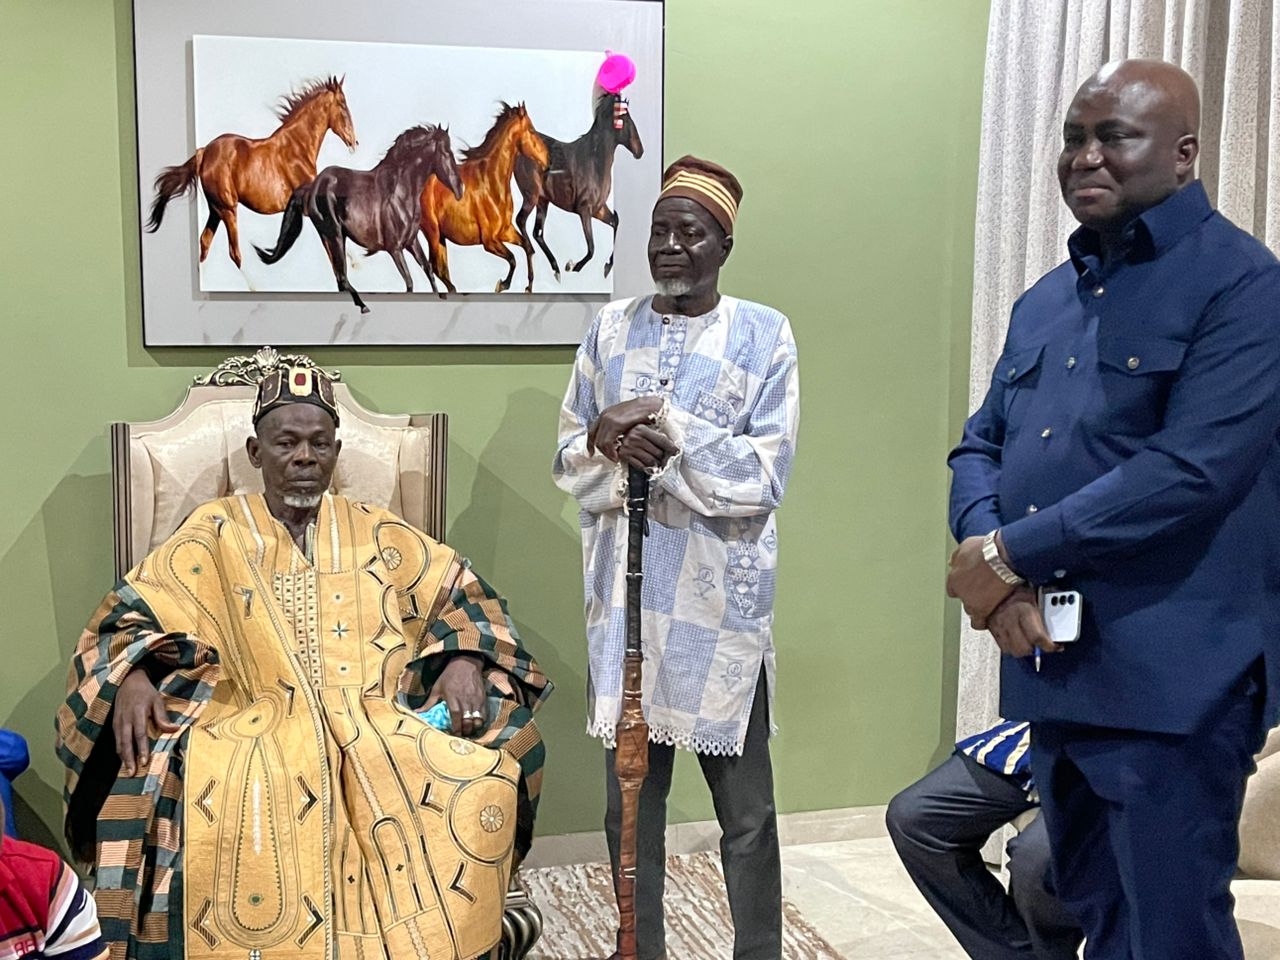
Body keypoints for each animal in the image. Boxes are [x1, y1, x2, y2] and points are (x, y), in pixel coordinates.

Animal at [146, 76, 357, 269]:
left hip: (216, 209)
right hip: (228, 208)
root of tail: (204, 151)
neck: (298, 148)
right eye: (343, 104)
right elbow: (334, 251)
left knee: (205, 241)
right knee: (235, 253)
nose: (354, 142)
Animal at [254, 124, 463, 314]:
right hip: (335, 234)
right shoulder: (394, 248)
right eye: (446, 152)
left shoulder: (411, 242)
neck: (401, 192)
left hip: (330, 237)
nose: (460, 188)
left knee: (339, 278)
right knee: (342, 277)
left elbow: (428, 270)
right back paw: (363, 306)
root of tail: (313, 186)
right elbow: (410, 283)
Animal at [419, 102, 550, 295]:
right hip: (432, 232)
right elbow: (512, 258)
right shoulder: (489, 241)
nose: (548, 160)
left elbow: (528, 248)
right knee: (435, 267)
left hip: (440, 236)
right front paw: (502, 285)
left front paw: (529, 286)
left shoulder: (506, 231)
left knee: (440, 269)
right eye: (532, 130)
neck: (491, 183)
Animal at [515, 93, 643, 280]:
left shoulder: (598, 209)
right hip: (531, 196)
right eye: (624, 118)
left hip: (543, 201)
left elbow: (616, 222)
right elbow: (591, 248)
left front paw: (607, 267)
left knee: (537, 232)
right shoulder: (585, 209)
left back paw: (556, 269)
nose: (640, 150)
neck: (594, 161)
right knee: (521, 221)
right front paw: (573, 266)